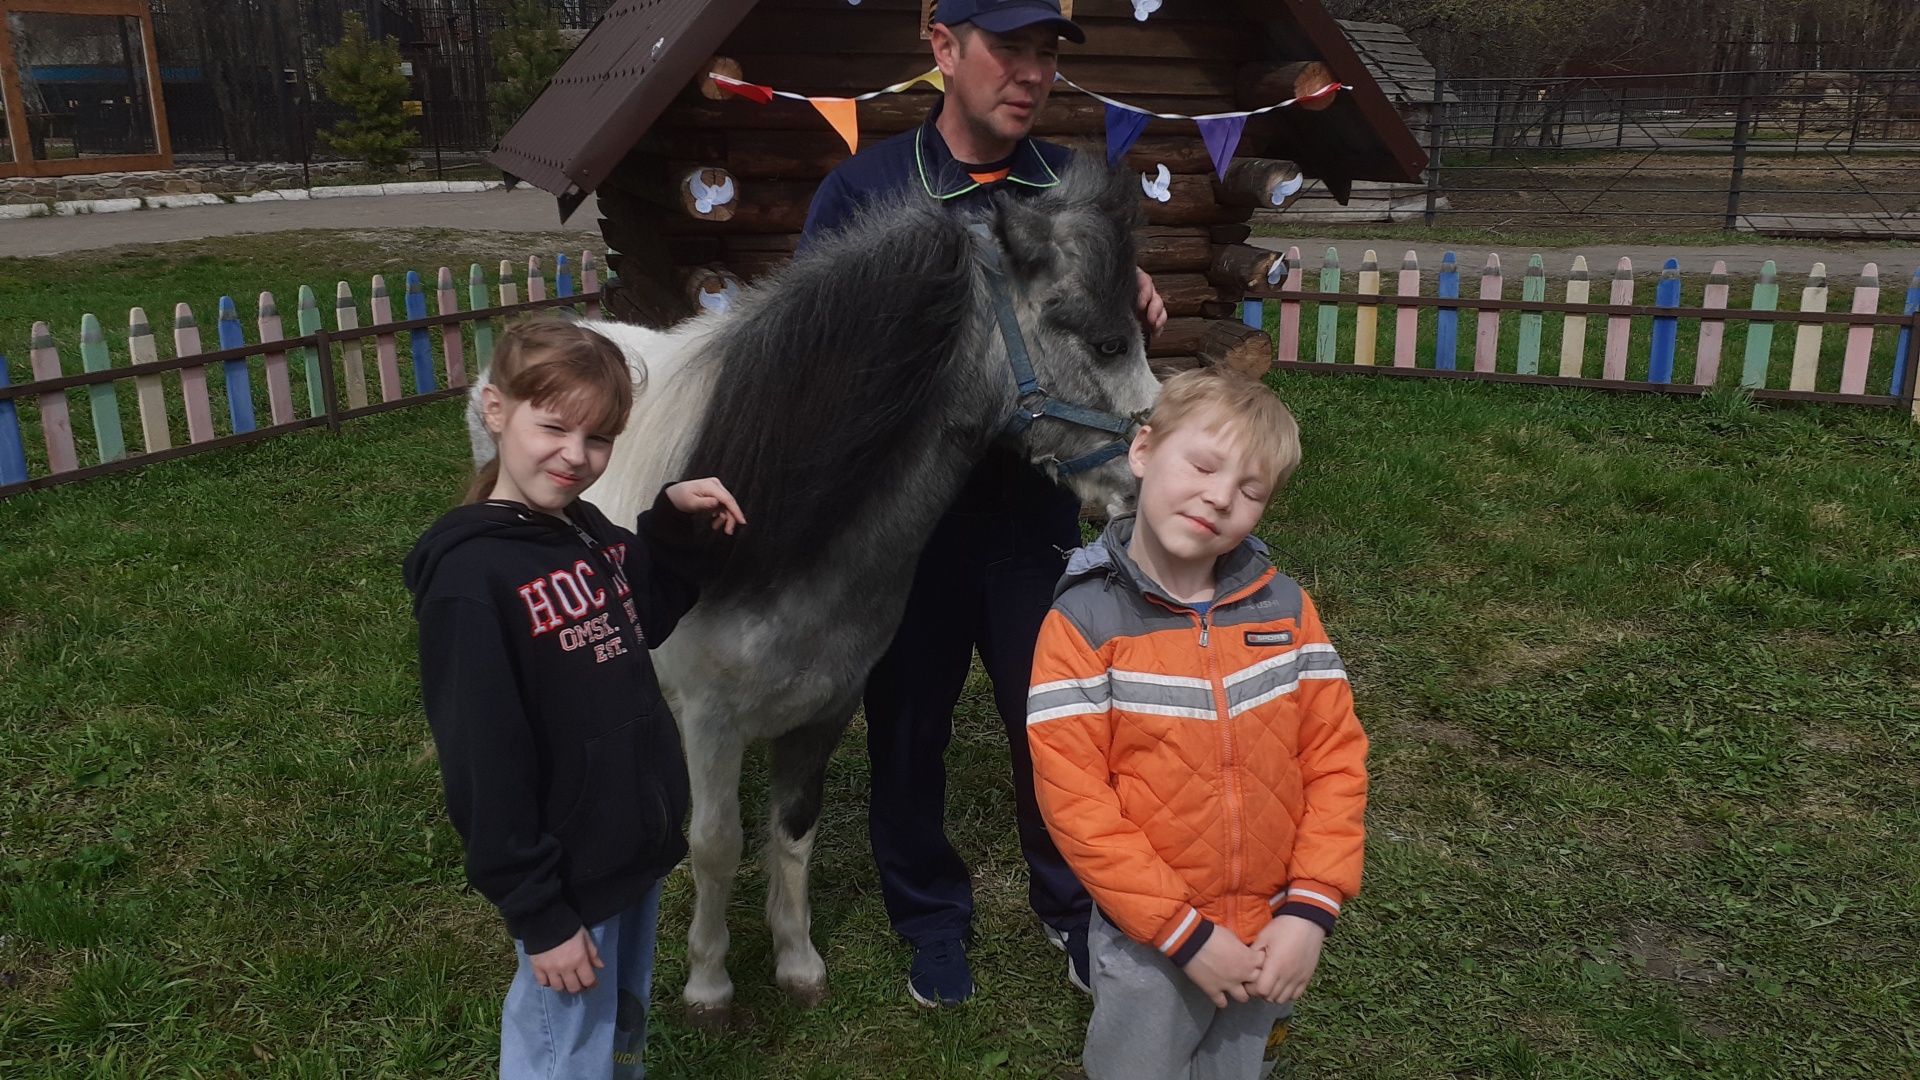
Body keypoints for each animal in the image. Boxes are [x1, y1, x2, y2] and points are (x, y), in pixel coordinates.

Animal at [468, 157, 1152, 1014]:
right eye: (1106, 340)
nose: (1150, 484)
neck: (779, 537)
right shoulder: (711, 720)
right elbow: (717, 843)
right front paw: (709, 982)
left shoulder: (827, 705)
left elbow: (792, 832)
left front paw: (796, 964)